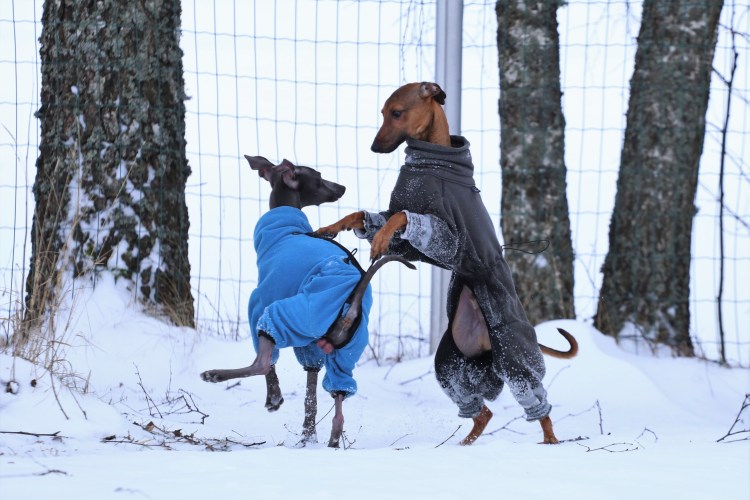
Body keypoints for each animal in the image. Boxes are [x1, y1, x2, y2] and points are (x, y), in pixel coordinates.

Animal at [201, 155, 413, 447]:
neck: (287, 230)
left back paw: (215, 375)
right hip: (345, 353)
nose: (342, 187)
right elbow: (310, 396)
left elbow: (271, 366)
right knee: (339, 403)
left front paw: (275, 398)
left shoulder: (260, 302)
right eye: (321, 177)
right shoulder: (311, 348)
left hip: (288, 314)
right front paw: (308, 433)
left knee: (261, 363)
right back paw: (331, 440)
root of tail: (351, 306)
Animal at [317, 82, 578, 445]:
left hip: (513, 358)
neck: (430, 162)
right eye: (383, 112)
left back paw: (551, 441)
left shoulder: (447, 240)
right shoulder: (409, 245)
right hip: (451, 366)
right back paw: (464, 443)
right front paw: (331, 228)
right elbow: (362, 215)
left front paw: (378, 240)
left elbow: (402, 216)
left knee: (538, 403)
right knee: (482, 412)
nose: (374, 146)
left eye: (397, 112)